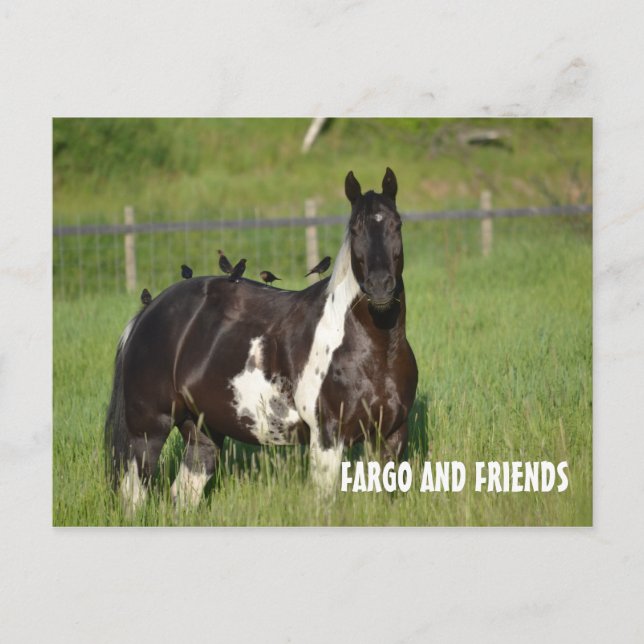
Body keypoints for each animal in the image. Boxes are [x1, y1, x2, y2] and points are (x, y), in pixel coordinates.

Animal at [105, 167, 418, 509]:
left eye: (397, 224)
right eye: (355, 228)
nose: (380, 286)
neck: (372, 351)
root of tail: (148, 313)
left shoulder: (391, 435)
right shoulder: (327, 439)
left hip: (202, 430)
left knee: (184, 492)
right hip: (147, 430)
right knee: (134, 495)